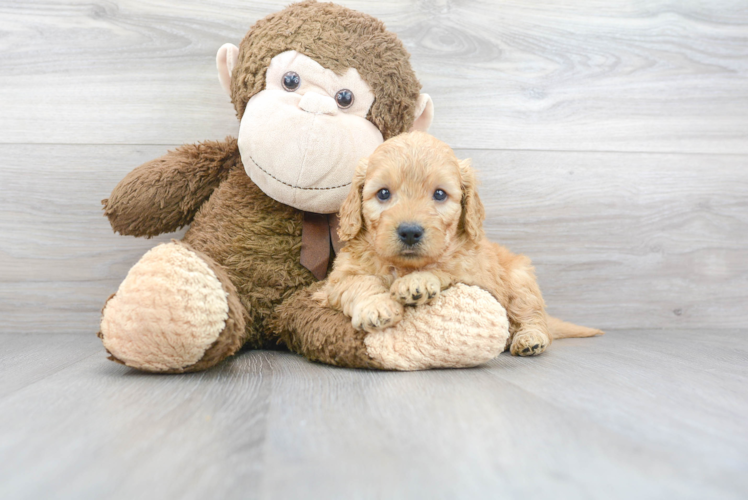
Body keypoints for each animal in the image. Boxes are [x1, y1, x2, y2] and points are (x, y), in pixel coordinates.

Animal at [314, 129, 600, 356]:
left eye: (440, 194)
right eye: (383, 193)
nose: (410, 232)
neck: (404, 266)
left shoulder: (476, 278)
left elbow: (444, 271)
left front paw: (417, 282)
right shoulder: (338, 278)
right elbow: (359, 283)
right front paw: (377, 306)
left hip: (521, 280)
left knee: (533, 316)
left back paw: (531, 338)